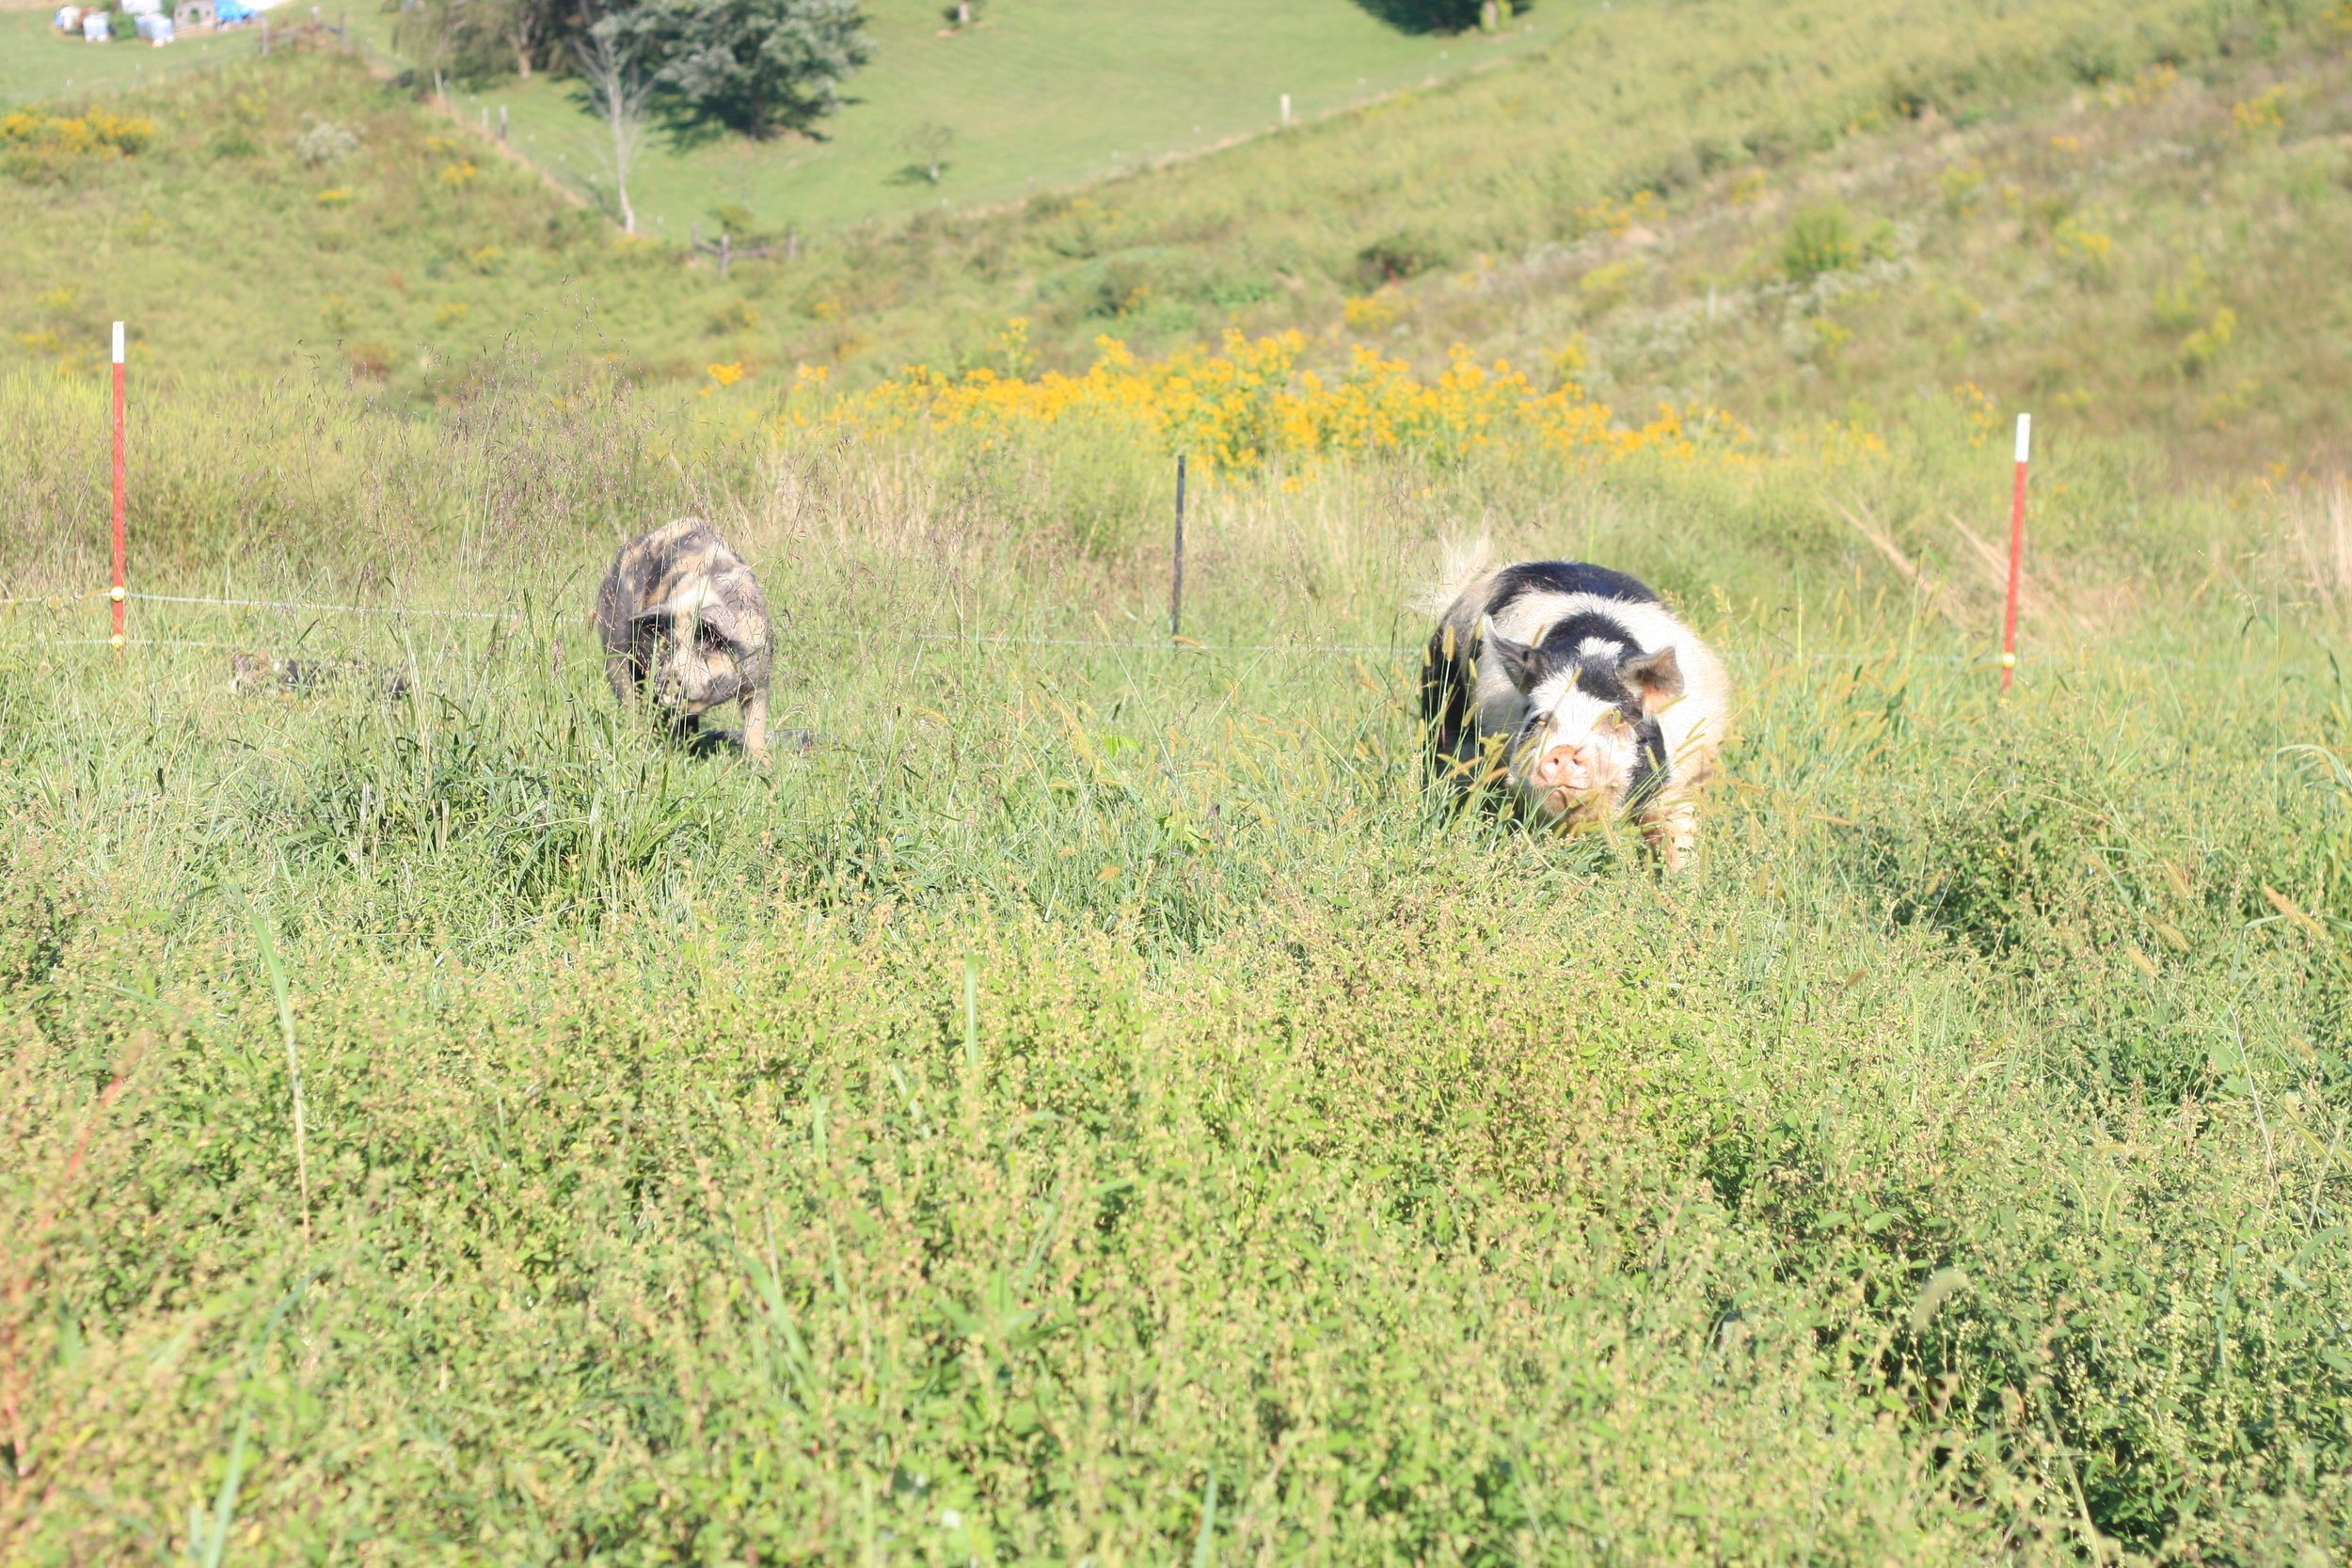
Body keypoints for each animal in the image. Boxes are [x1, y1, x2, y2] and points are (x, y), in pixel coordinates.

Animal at [593, 519, 774, 763]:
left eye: (703, 647)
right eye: (667, 647)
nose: (669, 677)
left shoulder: (759, 676)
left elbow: (755, 726)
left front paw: (765, 766)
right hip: (614, 645)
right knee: (628, 697)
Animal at [1418, 548, 1731, 871]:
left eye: (1614, 720)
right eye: (1540, 720)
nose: (1566, 749)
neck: (1593, 651)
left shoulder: (1681, 777)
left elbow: (1675, 835)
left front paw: (1679, 880)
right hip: (1444, 701)